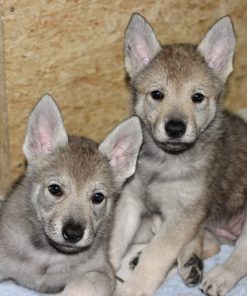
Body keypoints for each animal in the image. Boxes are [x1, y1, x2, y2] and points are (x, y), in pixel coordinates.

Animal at [0, 95, 143, 296]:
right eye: (55, 189)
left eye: (98, 197)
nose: (73, 234)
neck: (48, 256)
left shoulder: (101, 272)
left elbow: (79, 285)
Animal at [110, 13, 247, 296]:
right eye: (157, 94)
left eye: (198, 97)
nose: (175, 128)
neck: (164, 161)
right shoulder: (130, 200)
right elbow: (115, 242)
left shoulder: (185, 212)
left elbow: (155, 255)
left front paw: (132, 288)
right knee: (211, 244)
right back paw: (190, 262)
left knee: (240, 255)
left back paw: (219, 276)